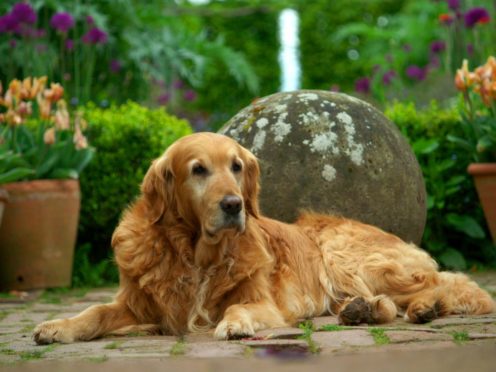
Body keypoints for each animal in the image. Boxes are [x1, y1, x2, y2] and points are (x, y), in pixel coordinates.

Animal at [34, 132, 492, 344]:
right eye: (198, 170)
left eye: (236, 166)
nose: (234, 205)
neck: (196, 255)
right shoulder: (139, 304)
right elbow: (95, 311)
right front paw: (58, 326)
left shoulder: (263, 301)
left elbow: (239, 306)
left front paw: (235, 324)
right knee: (390, 304)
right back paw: (363, 311)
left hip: (349, 258)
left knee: (451, 284)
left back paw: (427, 306)